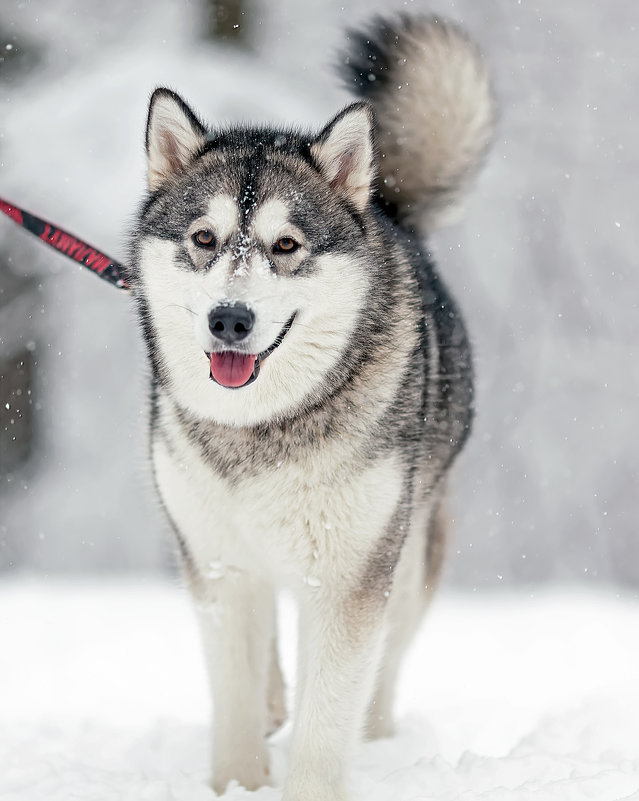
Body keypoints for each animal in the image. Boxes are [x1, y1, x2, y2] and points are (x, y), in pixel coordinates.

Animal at [126, 14, 496, 800]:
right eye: (204, 239)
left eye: (286, 244)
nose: (229, 319)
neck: (259, 432)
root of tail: (384, 205)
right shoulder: (215, 562)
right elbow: (233, 699)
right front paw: (236, 783)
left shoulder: (350, 575)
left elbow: (328, 719)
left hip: (411, 550)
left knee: (383, 668)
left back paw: (380, 739)